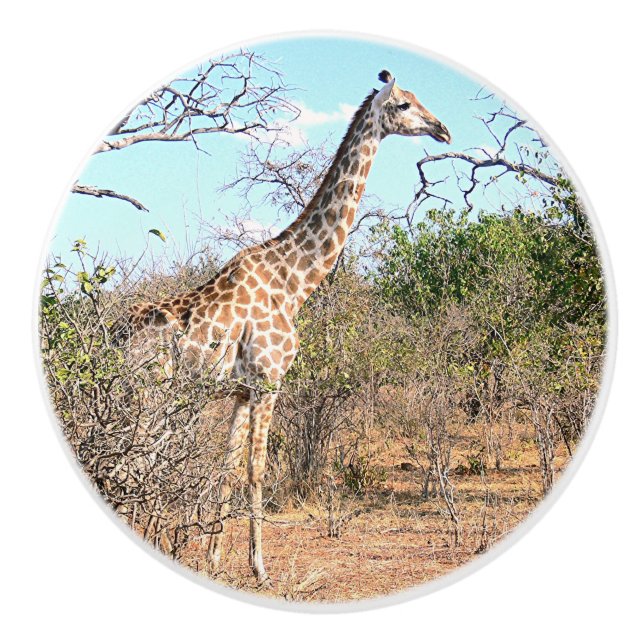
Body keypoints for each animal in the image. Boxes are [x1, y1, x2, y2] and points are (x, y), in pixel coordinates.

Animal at [126, 70, 451, 585]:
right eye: (402, 104)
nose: (443, 129)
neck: (295, 281)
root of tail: (116, 337)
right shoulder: (268, 381)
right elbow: (257, 470)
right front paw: (260, 567)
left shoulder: (241, 391)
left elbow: (228, 467)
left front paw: (214, 558)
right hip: (150, 394)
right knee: (134, 461)